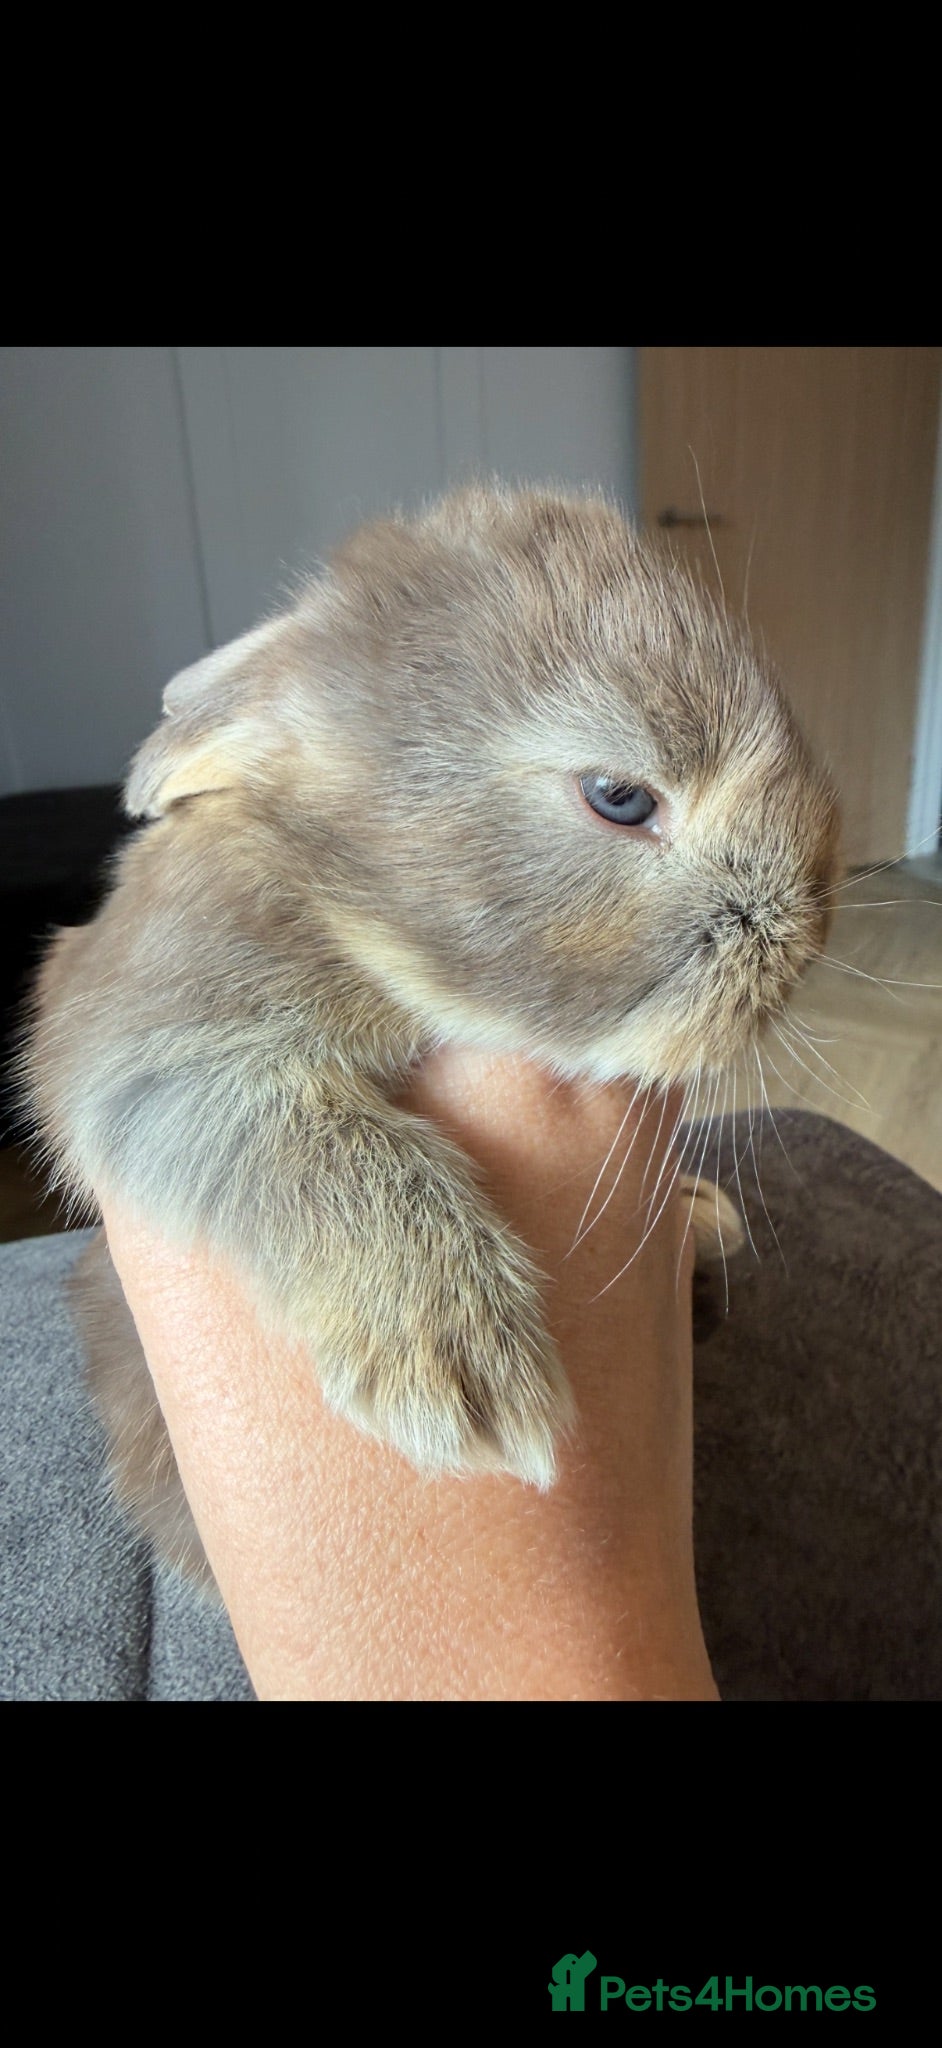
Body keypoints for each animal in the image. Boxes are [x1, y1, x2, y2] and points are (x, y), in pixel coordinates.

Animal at [22, 482, 840, 1589]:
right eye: (620, 798)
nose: (809, 930)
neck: (352, 911)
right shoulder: (149, 1044)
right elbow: (310, 1140)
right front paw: (460, 1367)